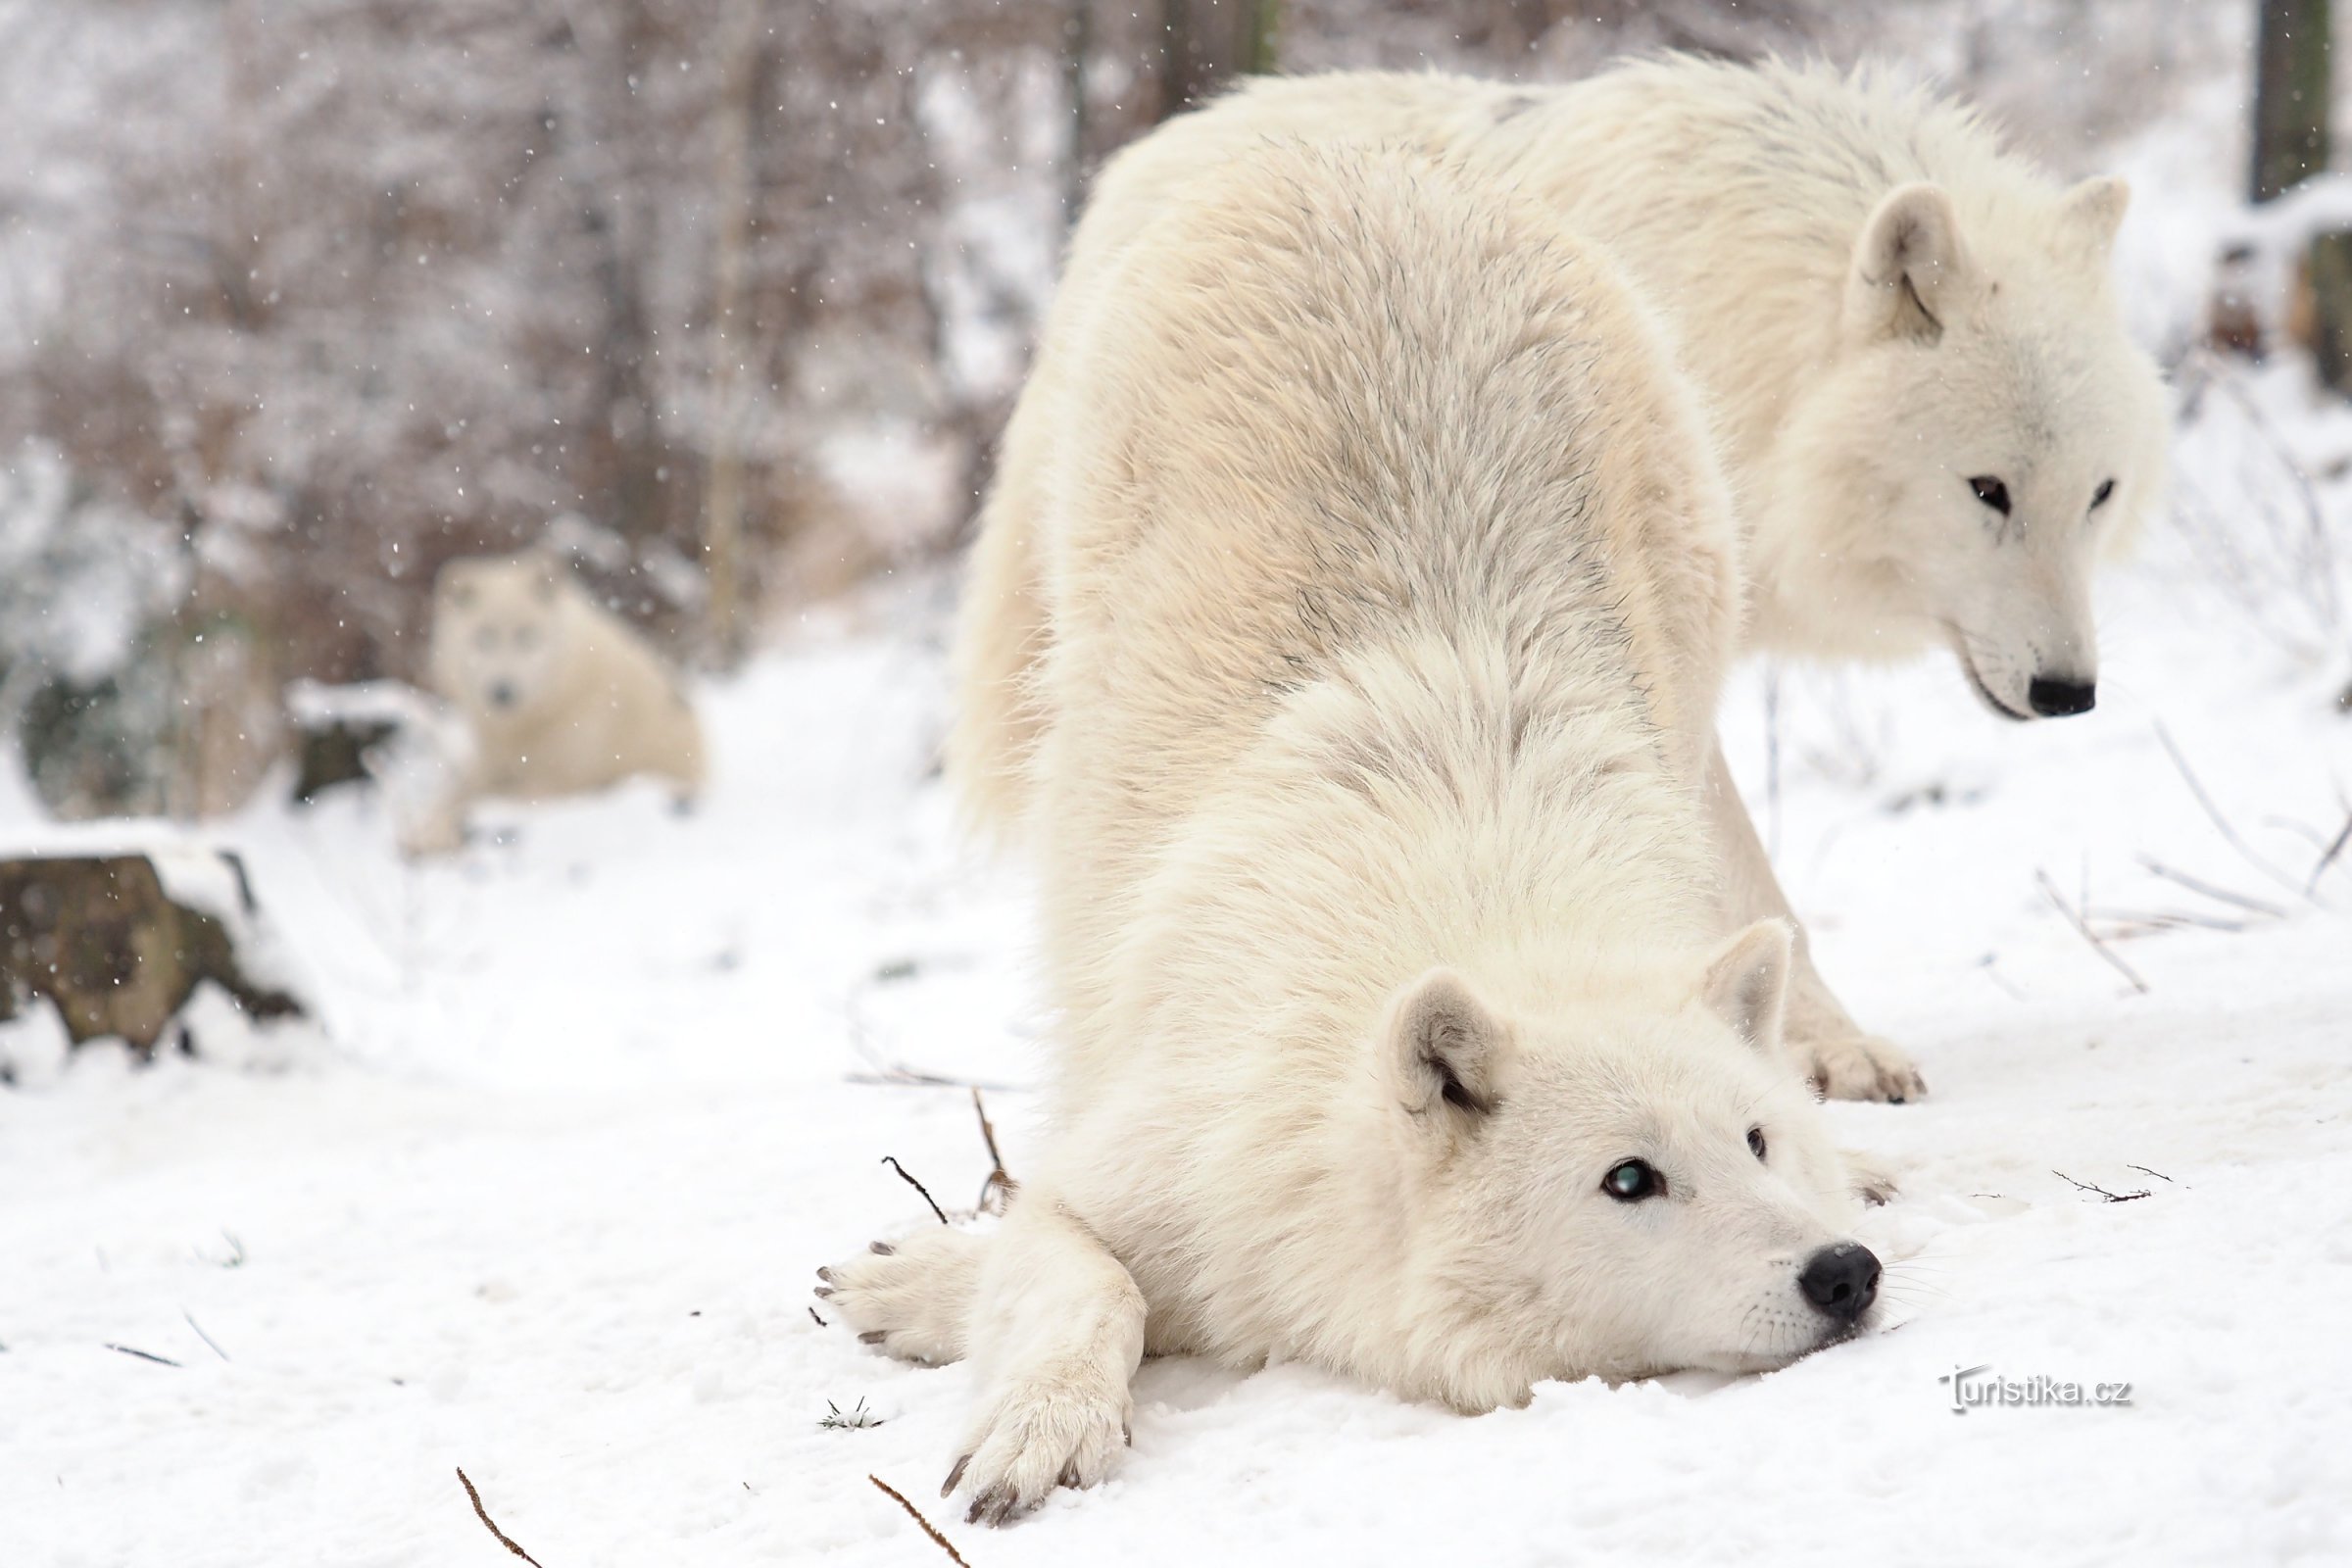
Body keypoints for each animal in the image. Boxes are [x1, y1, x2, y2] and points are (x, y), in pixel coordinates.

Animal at [818, 140, 1882, 1523]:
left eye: (1756, 1140)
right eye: (1629, 1179)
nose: (1845, 1271)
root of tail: (1339, 156)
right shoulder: (1140, 1175)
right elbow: (1091, 1275)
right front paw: (1032, 1416)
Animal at [950, 52, 2164, 1104]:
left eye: (2099, 494)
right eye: (1988, 490)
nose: (2069, 692)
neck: (1745, 328)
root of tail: (1153, 154)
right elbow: (1746, 879)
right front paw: (1831, 1047)